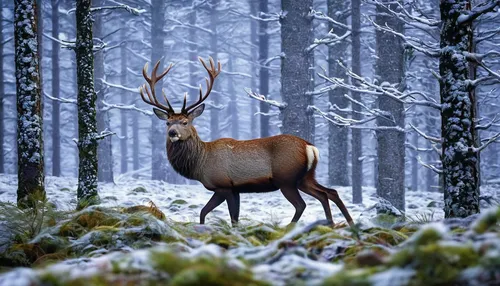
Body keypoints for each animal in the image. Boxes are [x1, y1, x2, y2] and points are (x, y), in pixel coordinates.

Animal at [139, 57, 354, 227]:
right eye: (167, 122)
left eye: (185, 121)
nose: (173, 133)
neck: (200, 164)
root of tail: (311, 147)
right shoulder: (236, 189)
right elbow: (223, 215)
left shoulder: (223, 185)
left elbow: (216, 214)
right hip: (305, 177)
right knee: (329, 193)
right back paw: (343, 223)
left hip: (287, 178)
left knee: (303, 204)